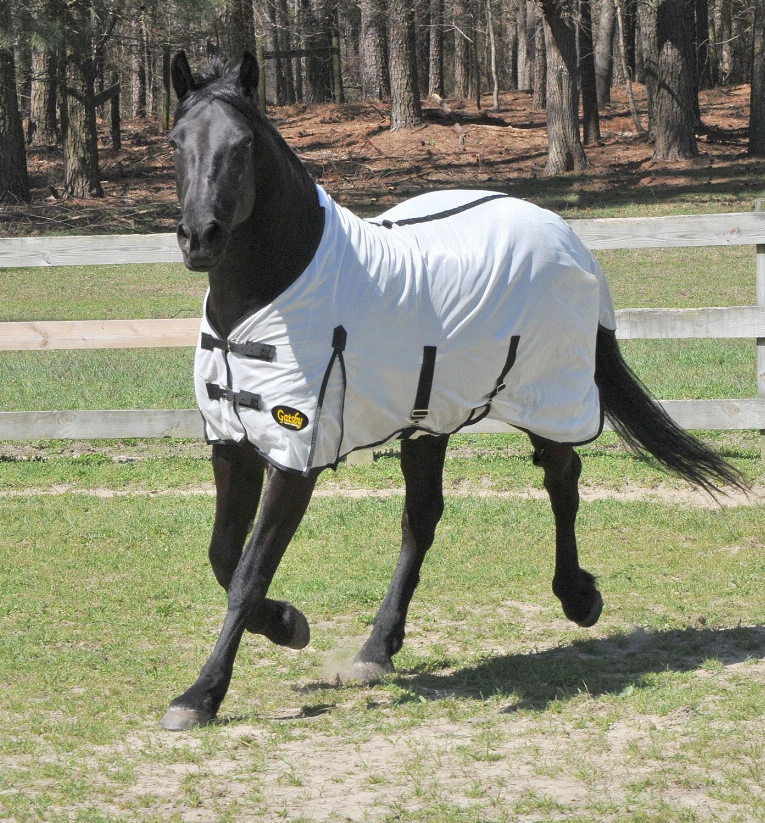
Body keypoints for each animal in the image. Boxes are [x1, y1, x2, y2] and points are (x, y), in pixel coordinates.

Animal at [161, 53, 748, 732]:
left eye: (243, 144)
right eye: (176, 142)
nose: (200, 237)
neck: (268, 298)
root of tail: (566, 235)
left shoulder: (295, 452)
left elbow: (250, 570)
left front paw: (201, 694)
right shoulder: (232, 441)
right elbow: (223, 557)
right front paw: (288, 625)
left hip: (547, 398)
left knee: (562, 481)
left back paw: (579, 599)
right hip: (428, 419)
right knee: (422, 521)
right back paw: (376, 649)